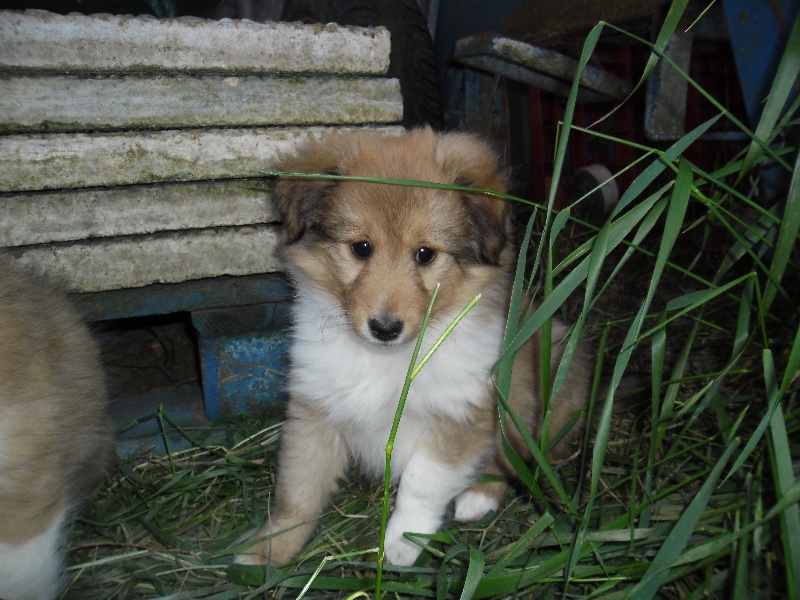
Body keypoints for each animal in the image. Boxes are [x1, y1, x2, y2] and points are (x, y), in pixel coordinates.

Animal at [236, 127, 592, 567]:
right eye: (361, 247)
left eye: (425, 254)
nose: (385, 328)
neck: (387, 359)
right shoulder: (315, 410)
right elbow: (297, 490)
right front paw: (268, 550)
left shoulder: (460, 414)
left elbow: (422, 483)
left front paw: (402, 543)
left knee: (514, 460)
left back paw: (477, 498)